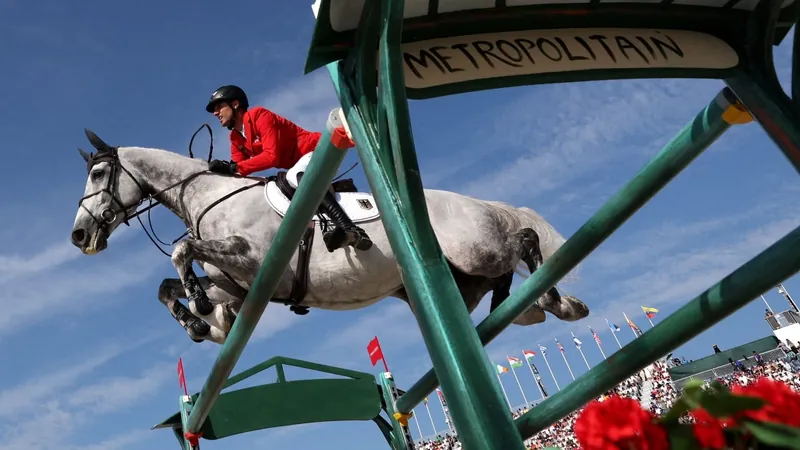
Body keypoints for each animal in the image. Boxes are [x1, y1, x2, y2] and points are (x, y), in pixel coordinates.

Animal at [70, 129, 588, 344]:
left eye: (98, 173)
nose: (79, 235)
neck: (208, 195)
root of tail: (479, 203)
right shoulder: (236, 286)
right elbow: (166, 287)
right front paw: (201, 322)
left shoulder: (253, 260)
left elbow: (180, 250)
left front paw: (199, 310)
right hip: (462, 278)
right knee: (503, 283)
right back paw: (535, 307)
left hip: (476, 249)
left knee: (524, 239)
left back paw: (560, 302)